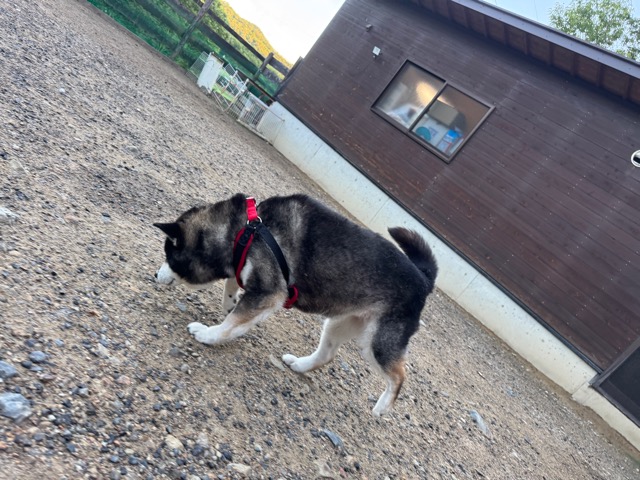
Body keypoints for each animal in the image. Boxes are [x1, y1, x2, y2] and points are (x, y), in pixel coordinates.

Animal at [154, 193, 438, 416]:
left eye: (169, 256)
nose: (156, 275)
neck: (244, 232)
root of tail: (423, 280)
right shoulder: (252, 278)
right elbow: (233, 288)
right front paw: (229, 302)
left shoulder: (269, 293)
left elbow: (230, 323)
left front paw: (208, 334)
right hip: (340, 323)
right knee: (327, 355)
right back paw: (300, 365)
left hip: (378, 343)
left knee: (399, 376)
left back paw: (383, 406)